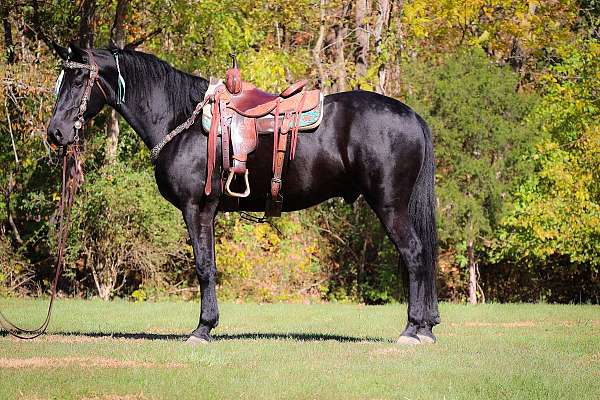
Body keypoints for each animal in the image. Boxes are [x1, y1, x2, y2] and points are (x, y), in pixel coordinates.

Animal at [48, 43, 440, 344]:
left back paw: (412, 330)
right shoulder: (206, 212)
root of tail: (411, 116)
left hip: (390, 206)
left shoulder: (196, 209)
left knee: (415, 255)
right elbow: (209, 265)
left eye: (79, 79)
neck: (181, 122)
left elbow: (204, 267)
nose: (55, 133)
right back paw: (426, 328)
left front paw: (202, 330)